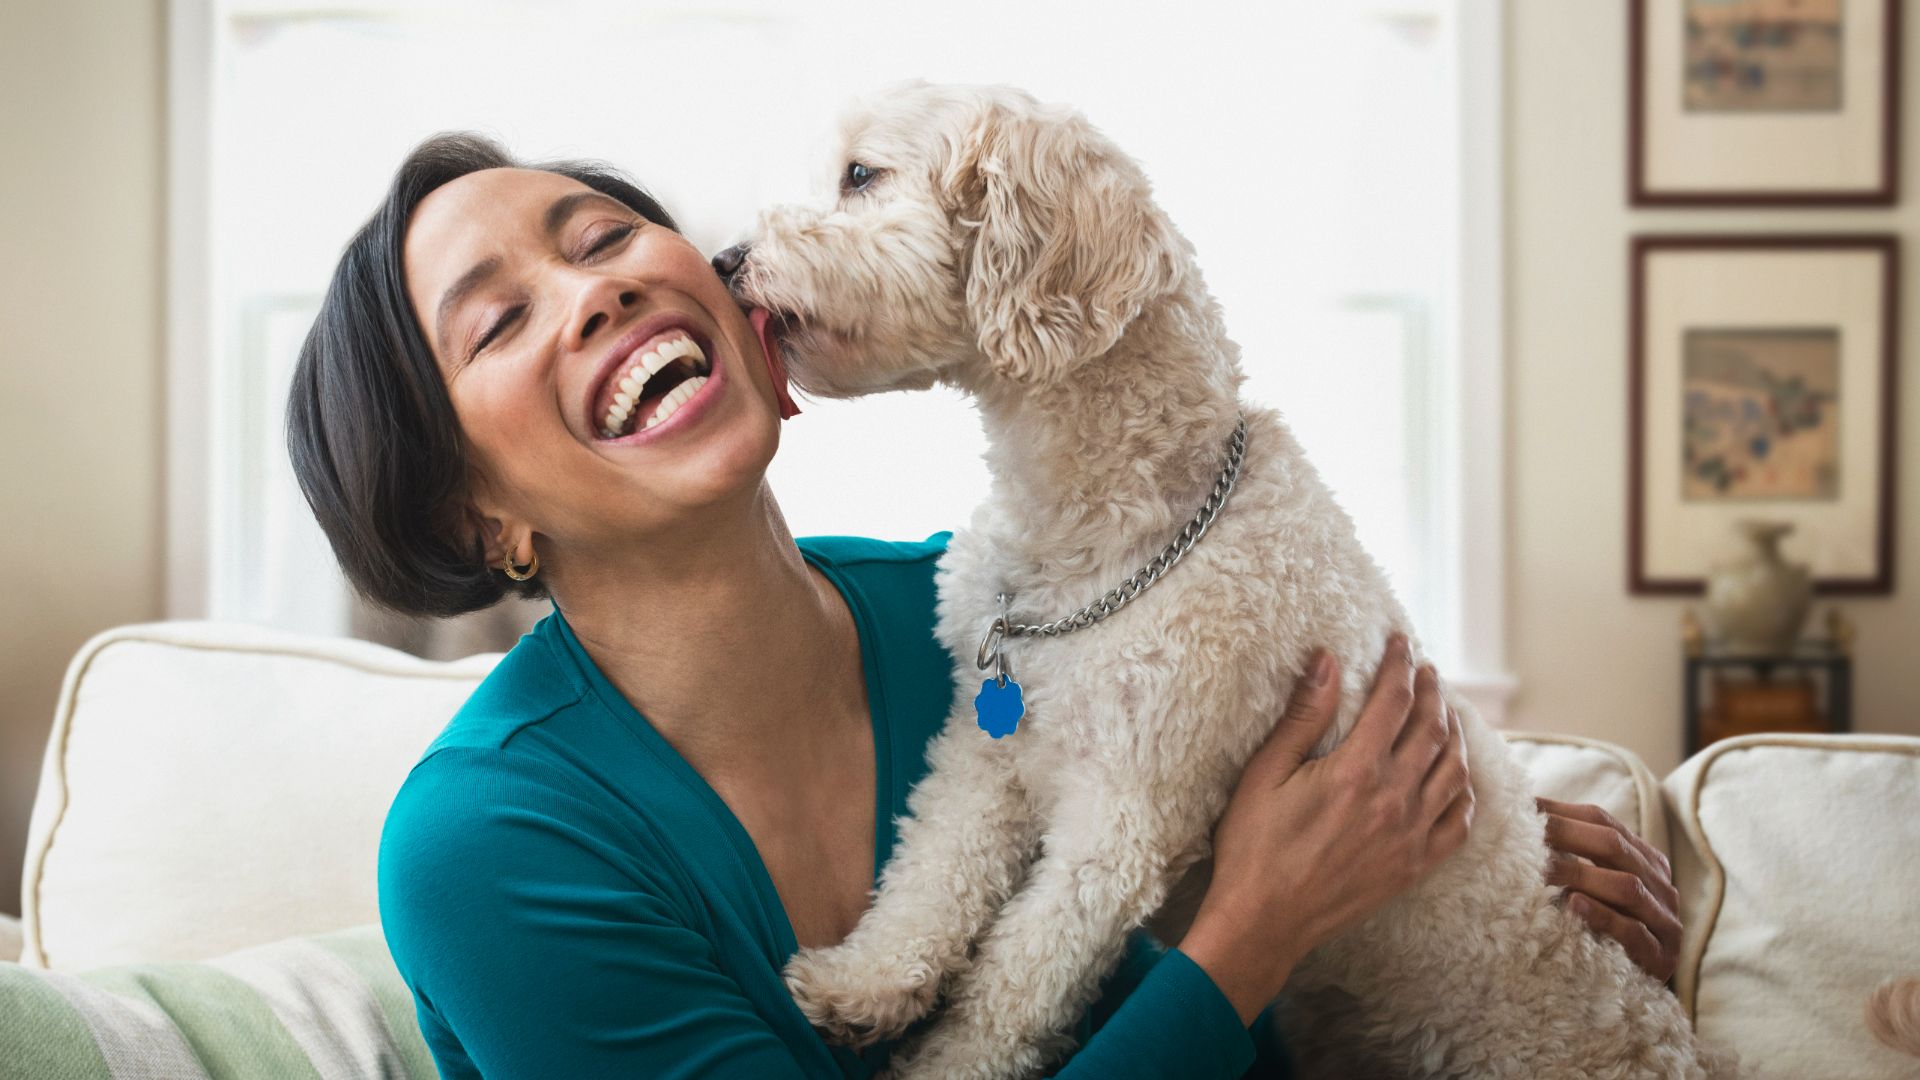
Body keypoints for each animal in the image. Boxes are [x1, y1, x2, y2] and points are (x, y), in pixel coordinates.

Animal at [721, 84, 1743, 1076]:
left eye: (861, 175)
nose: (727, 259)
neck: (1115, 529)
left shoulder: (1127, 815)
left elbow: (1013, 984)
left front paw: (943, 1061)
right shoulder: (987, 749)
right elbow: (931, 874)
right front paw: (862, 983)